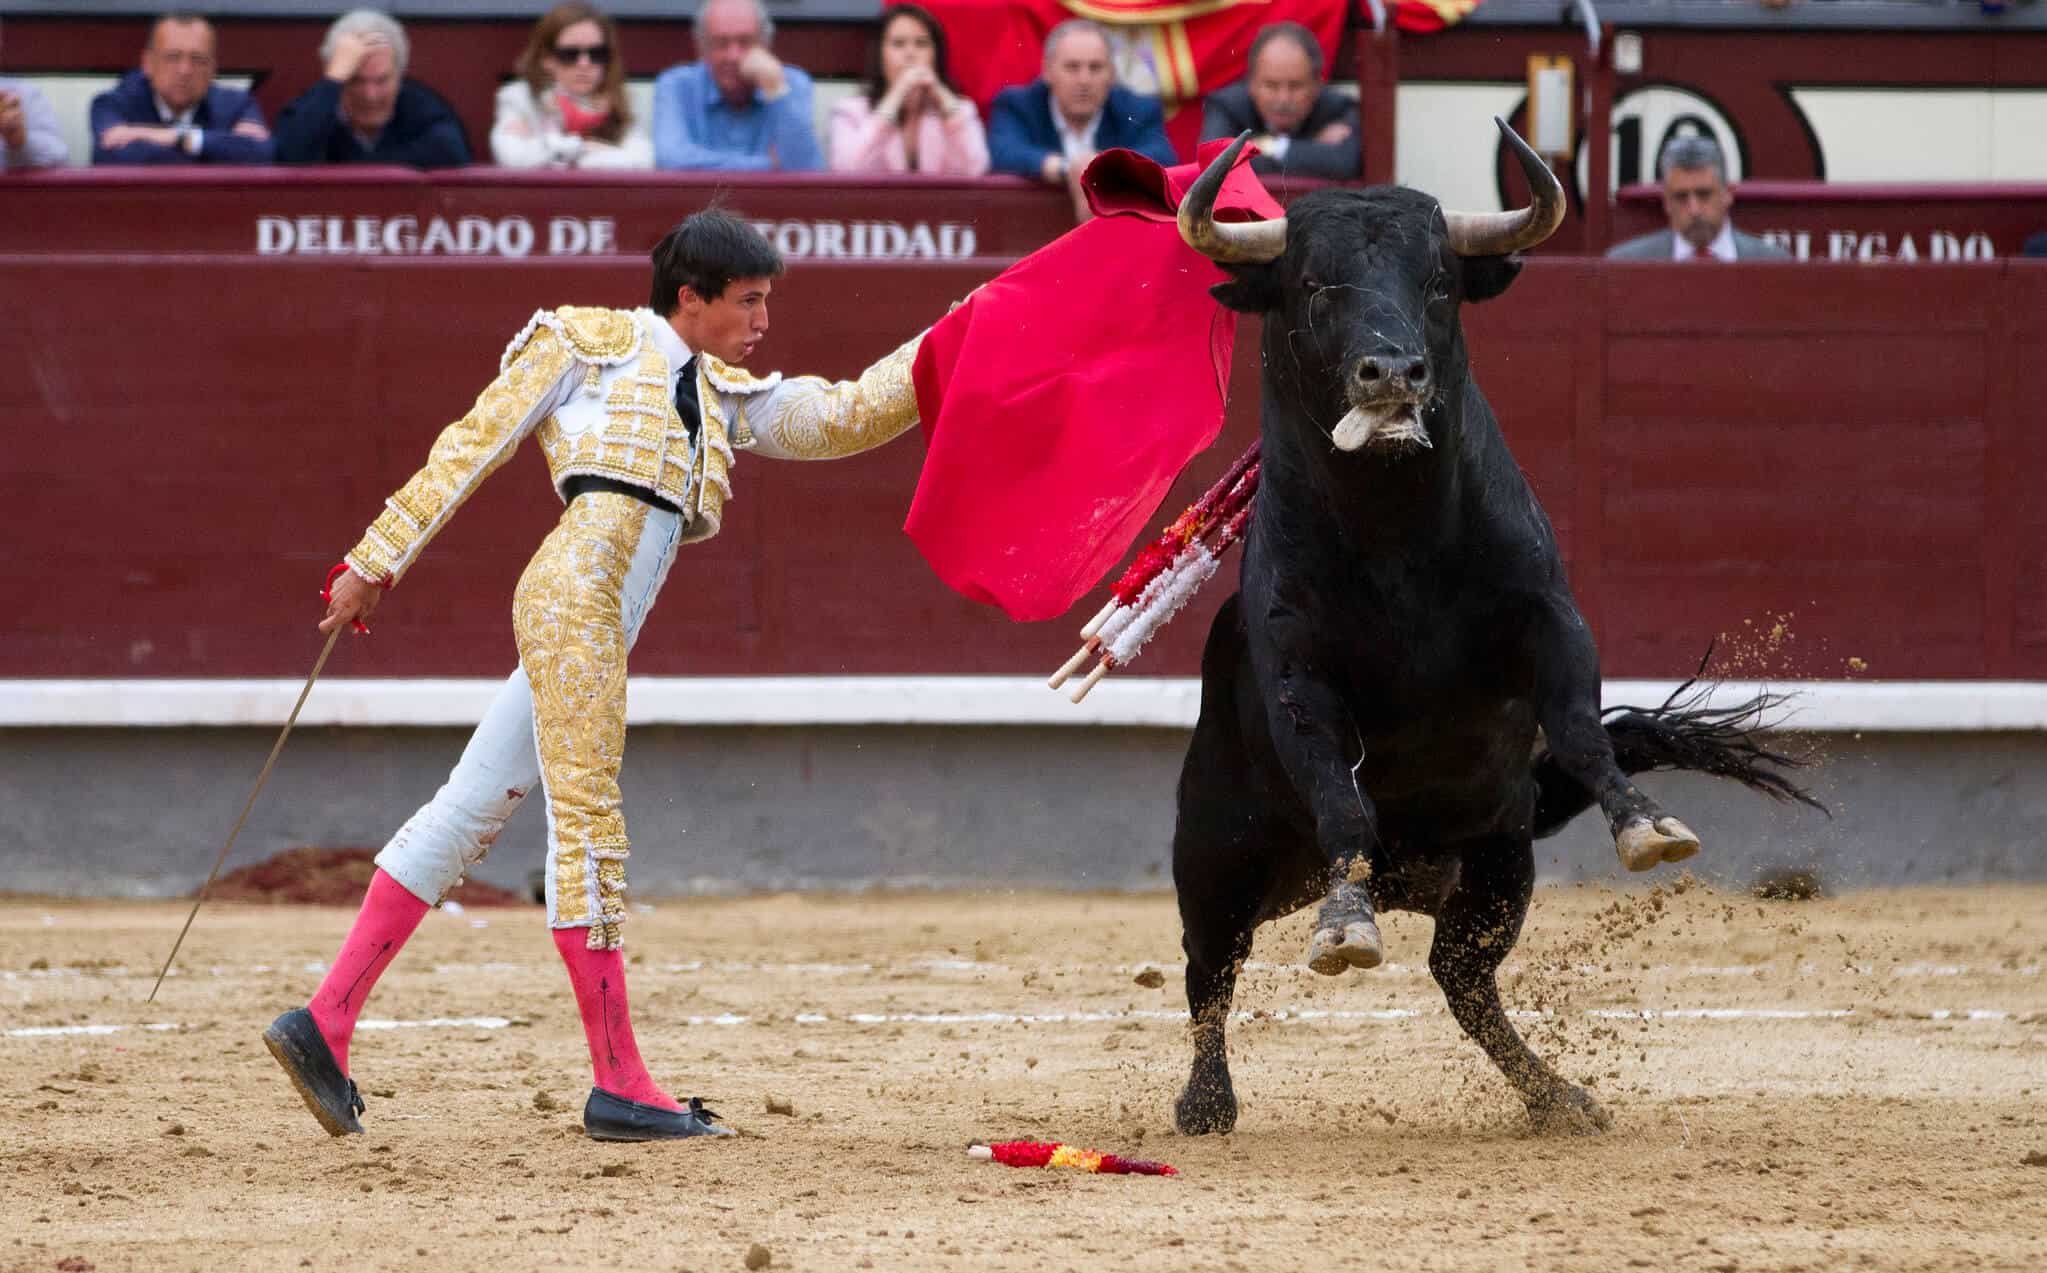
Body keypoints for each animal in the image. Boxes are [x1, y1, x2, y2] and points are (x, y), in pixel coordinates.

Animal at [1170, 124, 1825, 1146]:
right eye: (1312, 284)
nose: (1393, 374)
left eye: (1439, 280)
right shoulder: (1295, 675)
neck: (1395, 534)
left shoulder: (1549, 619)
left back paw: (1557, 1095)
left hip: (1495, 862)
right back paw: (1206, 1101)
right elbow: (1341, 799)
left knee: (1464, 980)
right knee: (1211, 971)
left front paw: (1645, 826)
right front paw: (1344, 923)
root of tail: (1412, 875)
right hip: (1213, 856)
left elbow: (1586, 732)